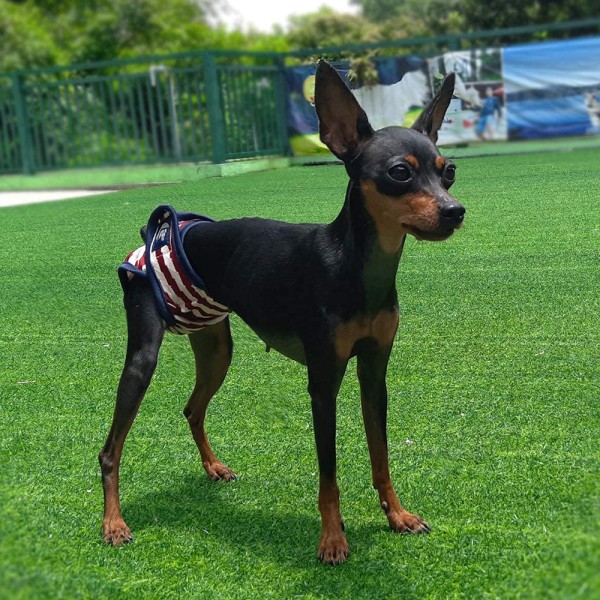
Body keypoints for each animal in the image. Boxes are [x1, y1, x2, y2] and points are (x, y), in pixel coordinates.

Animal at [98, 62, 464, 568]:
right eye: (399, 173)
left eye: (448, 172)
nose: (455, 211)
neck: (354, 265)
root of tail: (164, 230)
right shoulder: (323, 381)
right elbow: (329, 473)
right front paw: (332, 539)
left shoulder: (374, 374)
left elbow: (381, 455)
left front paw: (397, 515)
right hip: (143, 357)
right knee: (110, 451)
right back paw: (113, 523)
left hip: (216, 347)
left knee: (192, 407)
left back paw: (213, 467)